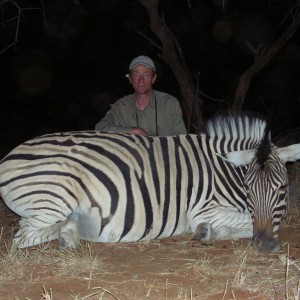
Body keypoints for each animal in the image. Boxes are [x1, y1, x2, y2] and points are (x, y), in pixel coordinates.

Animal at [0, 113, 298, 252]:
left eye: (282, 188)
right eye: (248, 188)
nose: (265, 245)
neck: (223, 170)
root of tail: (7, 156)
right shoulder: (204, 209)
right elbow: (248, 222)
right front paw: (207, 232)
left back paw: (71, 232)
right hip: (55, 198)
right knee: (23, 235)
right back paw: (71, 234)